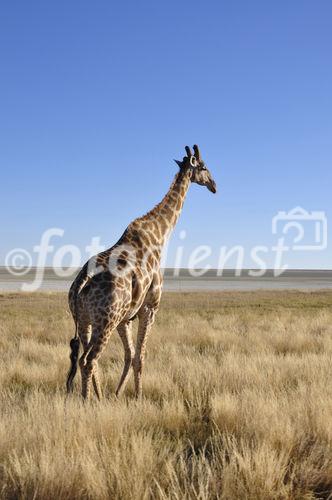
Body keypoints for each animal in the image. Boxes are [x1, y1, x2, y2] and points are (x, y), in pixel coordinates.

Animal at [67, 145, 218, 398]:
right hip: (105, 321)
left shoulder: (126, 318)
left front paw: (117, 394)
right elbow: (140, 357)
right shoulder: (150, 307)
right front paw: (137, 397)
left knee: (82, 359)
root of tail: (82, 282)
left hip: (85, 321)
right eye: (205, 167)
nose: (214, 185)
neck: (160, 234)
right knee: (88, 360)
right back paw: (87, 401)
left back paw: (97, 397)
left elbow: (129, 355)